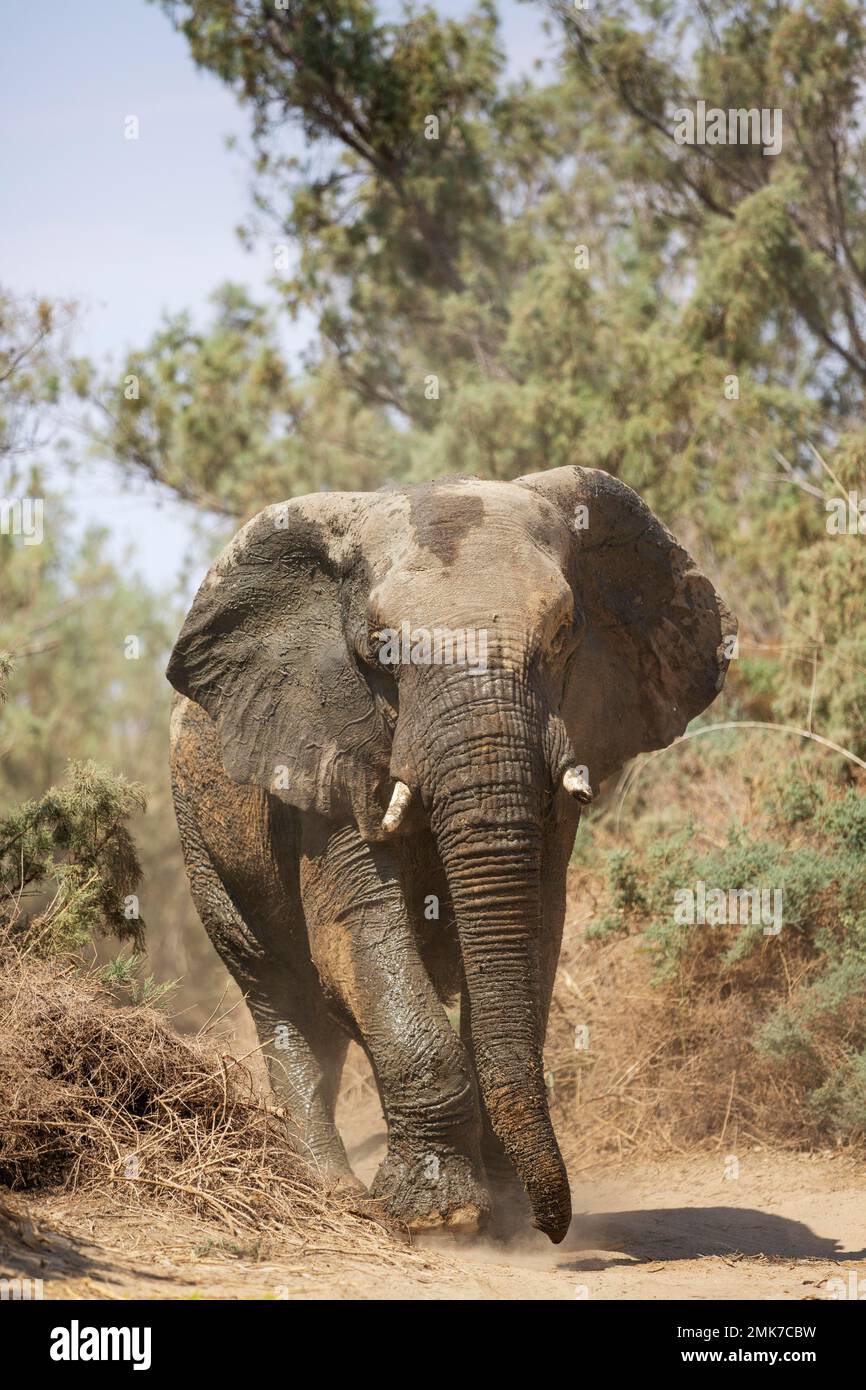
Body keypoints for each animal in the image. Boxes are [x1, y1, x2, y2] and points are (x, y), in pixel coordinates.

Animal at [166, 469, 733, 1251]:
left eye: (564, 634)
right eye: (381, 650)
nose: (555, 1230)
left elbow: (535, 924)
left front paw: (506, 1215)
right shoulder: (325, 749)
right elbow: (356, 931)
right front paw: (439, 1217)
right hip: (200, 834)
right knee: (276, 989)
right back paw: (331, 1192)